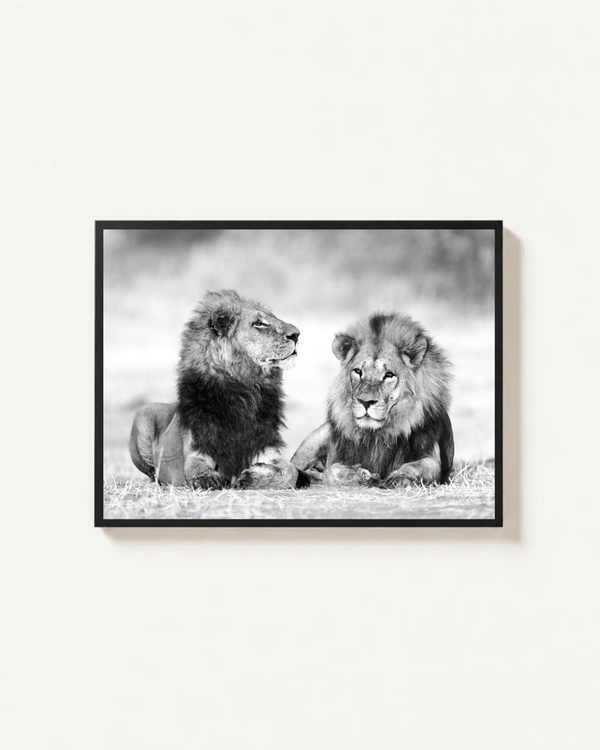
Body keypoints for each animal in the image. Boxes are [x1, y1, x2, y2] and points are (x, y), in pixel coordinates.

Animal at [129, 289, 309, 490]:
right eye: (258, 323)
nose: (296, 334)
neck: (245, 390)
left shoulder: (266, 447)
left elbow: (291, 471)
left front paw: (250, 476)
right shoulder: (199, 449)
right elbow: (195, 468)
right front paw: (208, 479)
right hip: (143, 415)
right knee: (151, 472)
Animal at [291, 312, 454, 488]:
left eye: (389, 375)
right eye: (358, 371)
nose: (365, 402)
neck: (376, 435)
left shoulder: (430, 456)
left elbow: (415, 466)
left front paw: (400, 477)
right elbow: (330, 472)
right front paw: (359, 476)